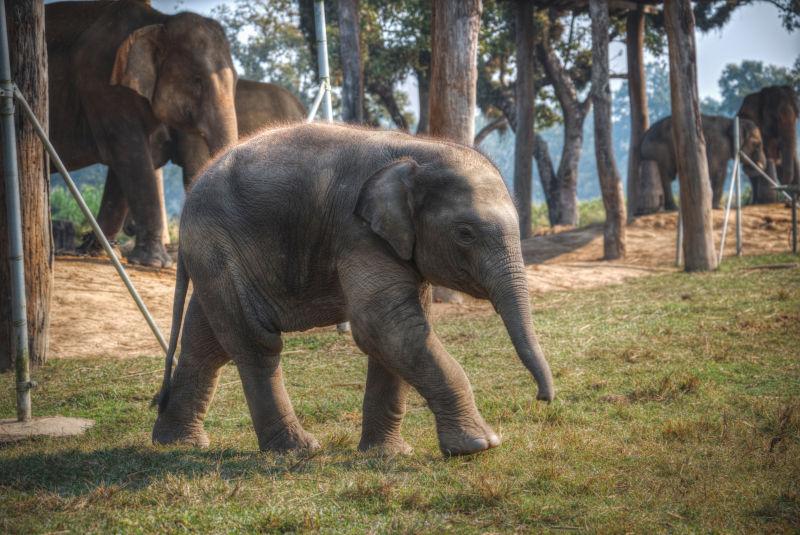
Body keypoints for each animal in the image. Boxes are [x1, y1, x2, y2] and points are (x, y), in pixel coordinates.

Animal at [46, 0, 238, 268]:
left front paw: (101, 252)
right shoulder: (103, 86)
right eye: (196, 80)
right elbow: (131, 155)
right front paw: (155, 263)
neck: (158, 21)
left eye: (237, 81)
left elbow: (127, 164)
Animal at [150, 122, 552, 456]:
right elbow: (384, 325)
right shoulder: (357, 233)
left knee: (206, 343)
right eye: (465, 233)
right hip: (219, 247)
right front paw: (480, 446)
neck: (418, 151)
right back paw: (297, 450)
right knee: (256, 343)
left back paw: (178, 444)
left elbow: (396, 332)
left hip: (215, 259)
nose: (543, 398)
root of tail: (190, 197)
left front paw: (387, 455)